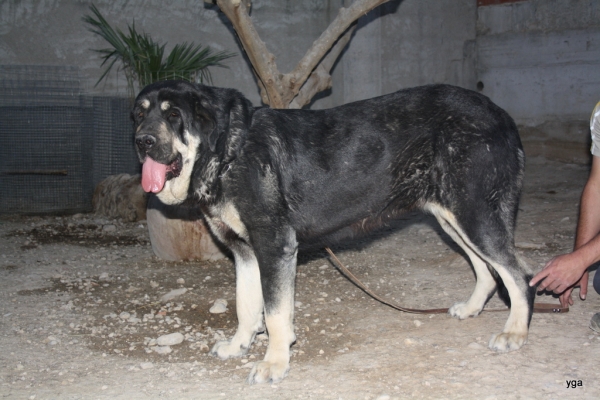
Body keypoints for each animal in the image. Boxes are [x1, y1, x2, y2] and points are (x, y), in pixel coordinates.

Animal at [131, 81, 536, 384]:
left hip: (474, 213)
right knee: (487, 269)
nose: (142, 141)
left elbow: (275, 314)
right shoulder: (245, 252)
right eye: (139, 114)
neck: (227, 149)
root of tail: (500, 114)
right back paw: (472, 309)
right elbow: (247, 307)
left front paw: (275, 362)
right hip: (453, 217)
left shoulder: (275, 246)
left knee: (519, 274)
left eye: (173, 114)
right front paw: (239, 346)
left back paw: (516, 333)